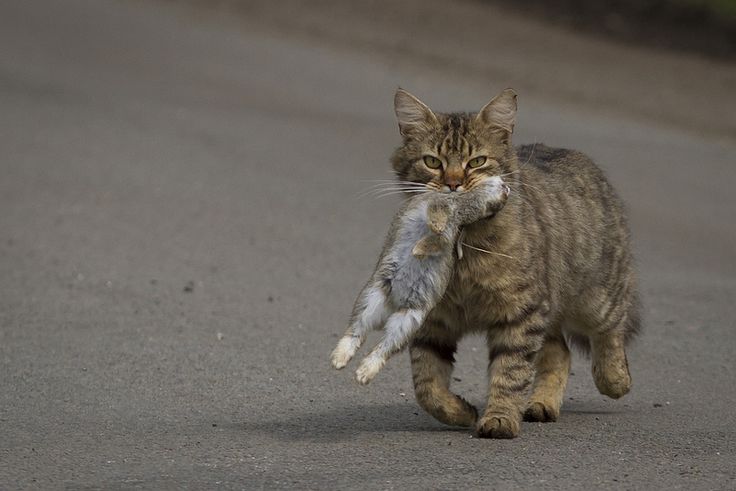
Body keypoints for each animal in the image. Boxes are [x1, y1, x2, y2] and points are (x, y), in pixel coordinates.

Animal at [330, 179, 508, 386]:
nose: (507, 188)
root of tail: (394, 303)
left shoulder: (450, 232)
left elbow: (440, 240)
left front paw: (419, 249)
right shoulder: (439, 206)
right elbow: (437, 219)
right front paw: (424, 242)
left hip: (408, 320)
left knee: (384, 346)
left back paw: (362, 374)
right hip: (372, 297)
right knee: (357, 330)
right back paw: (339, 361)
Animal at [382, 87, 640, 438]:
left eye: (477, 162)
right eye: (432, 162)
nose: (453, 184)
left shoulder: (520, 313)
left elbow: (510, 372)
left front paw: (500, 419)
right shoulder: (433, 320)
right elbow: (427, 385)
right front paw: (461, 412)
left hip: (597, 296)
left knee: (611, 329)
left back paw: (614, 380)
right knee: (560, 353)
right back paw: (542, 404)